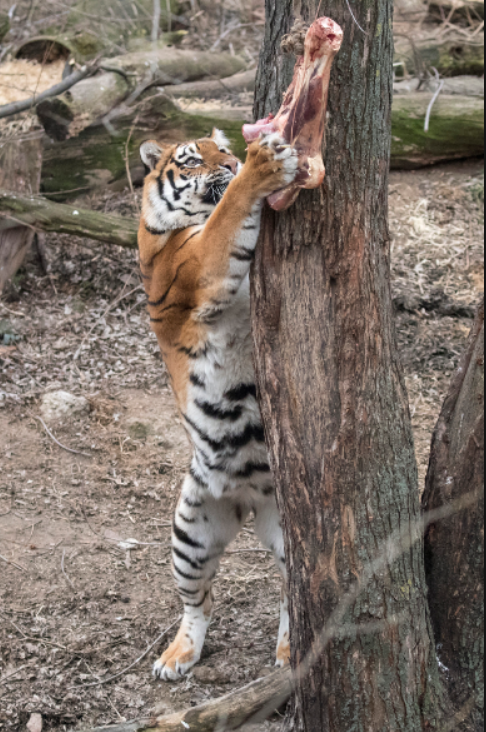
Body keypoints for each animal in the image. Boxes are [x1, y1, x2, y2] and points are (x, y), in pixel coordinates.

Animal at [137, 126, 296, 680]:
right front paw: (265, 163)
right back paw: (177, 656)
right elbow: (230, 209)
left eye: (222, 148)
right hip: (189, 531)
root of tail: (250, 498)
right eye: (191, 159)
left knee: (292, 592)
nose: (230, 162)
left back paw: (287, 650)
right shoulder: (200, 263)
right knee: (198, 602)